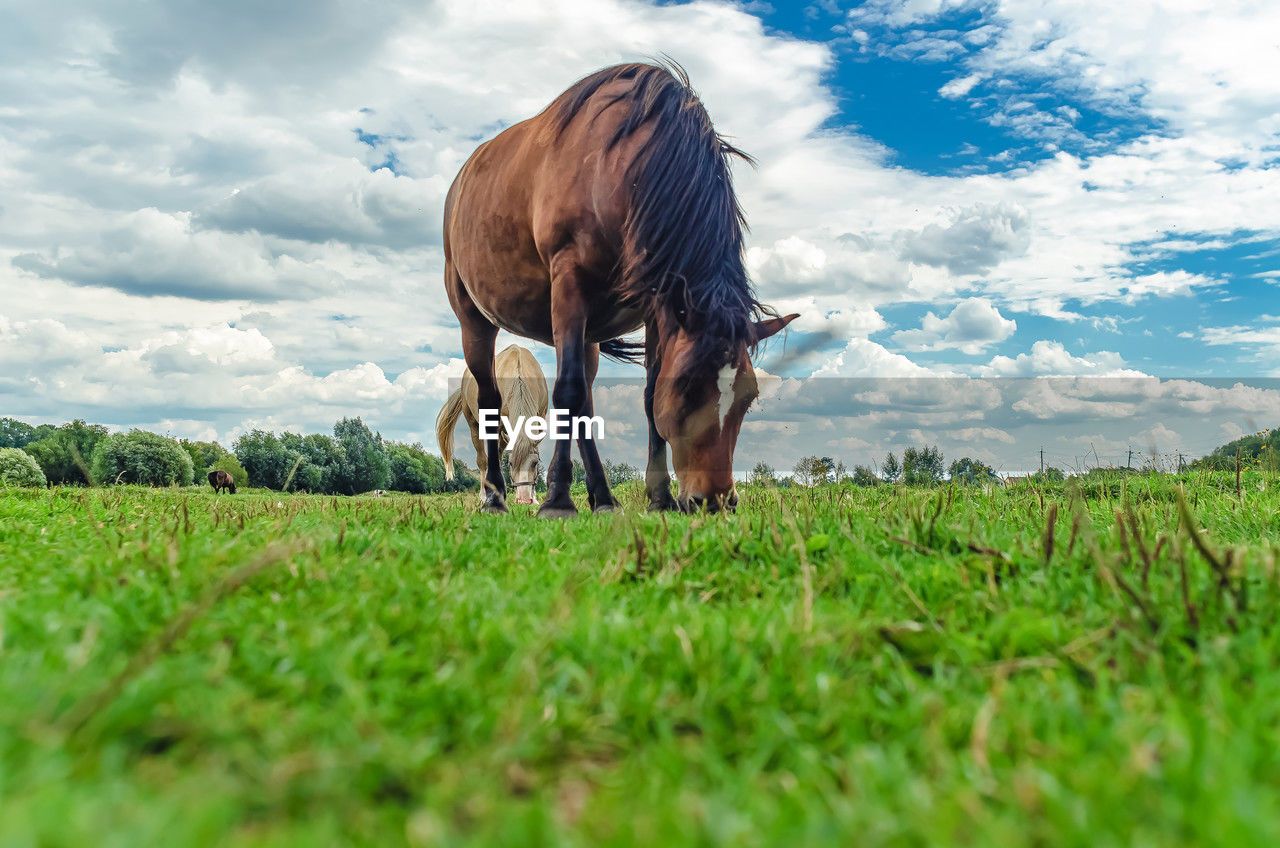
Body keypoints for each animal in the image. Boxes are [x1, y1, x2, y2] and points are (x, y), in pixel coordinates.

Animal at [437, 343, 547, 504]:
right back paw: (484, 495)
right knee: (483, 460)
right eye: (511, 463)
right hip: (474, 425)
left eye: (535, 463)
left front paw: (534, 497)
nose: (524, 500)